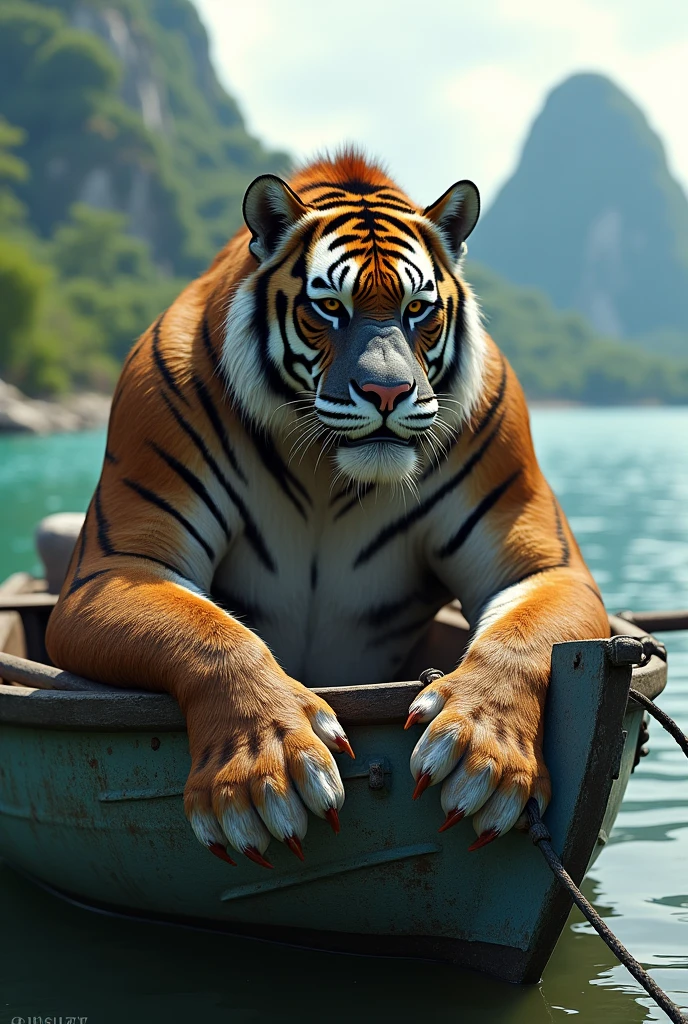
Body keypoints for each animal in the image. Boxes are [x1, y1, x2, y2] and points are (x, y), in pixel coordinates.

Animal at [47, 149, 606, 864]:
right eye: (330, 308)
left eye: (418, 309)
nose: (388, 392)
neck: (328, 473)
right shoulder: (117, 565)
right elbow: (210, 632)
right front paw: (265, 767)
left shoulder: (544, 565)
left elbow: (519, 637)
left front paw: (484, 746)